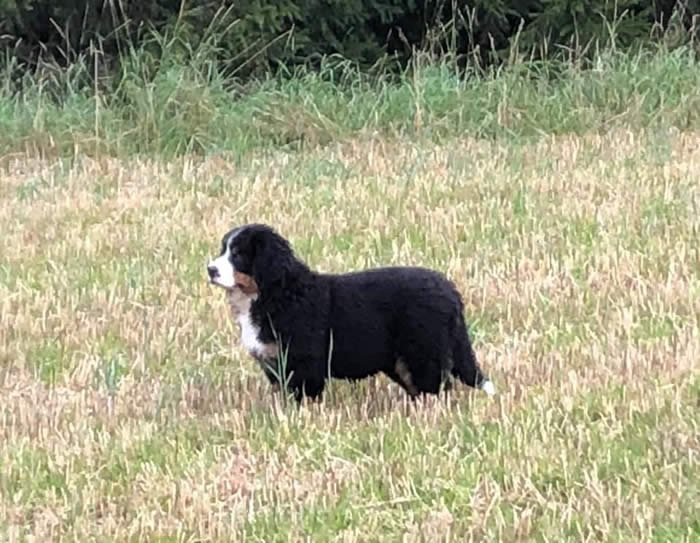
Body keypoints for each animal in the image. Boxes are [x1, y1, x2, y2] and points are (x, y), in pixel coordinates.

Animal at [205, 222, 494, 404]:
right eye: (223, 249)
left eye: (238, 254)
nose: (210, 269)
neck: (276, 293)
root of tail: (450, 290)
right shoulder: (275, 364)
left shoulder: (303, 362)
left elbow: (304, 397)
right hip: (402, 359)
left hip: (424, 350)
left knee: (437, 387)